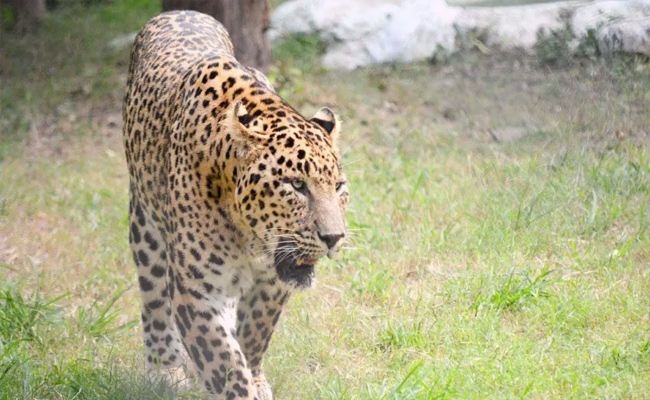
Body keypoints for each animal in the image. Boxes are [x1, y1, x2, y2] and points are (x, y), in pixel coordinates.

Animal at [122, 10, 349, 400]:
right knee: (153, 299)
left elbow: (255, 333)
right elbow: (222, 360)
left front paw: (255, 377)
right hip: (144, 225)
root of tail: (178, 11)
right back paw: (165, 367)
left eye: (338, 187)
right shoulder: (195, 289)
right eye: (296, 185)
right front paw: (238, 384)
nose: (333, 238)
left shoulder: (271, 281)